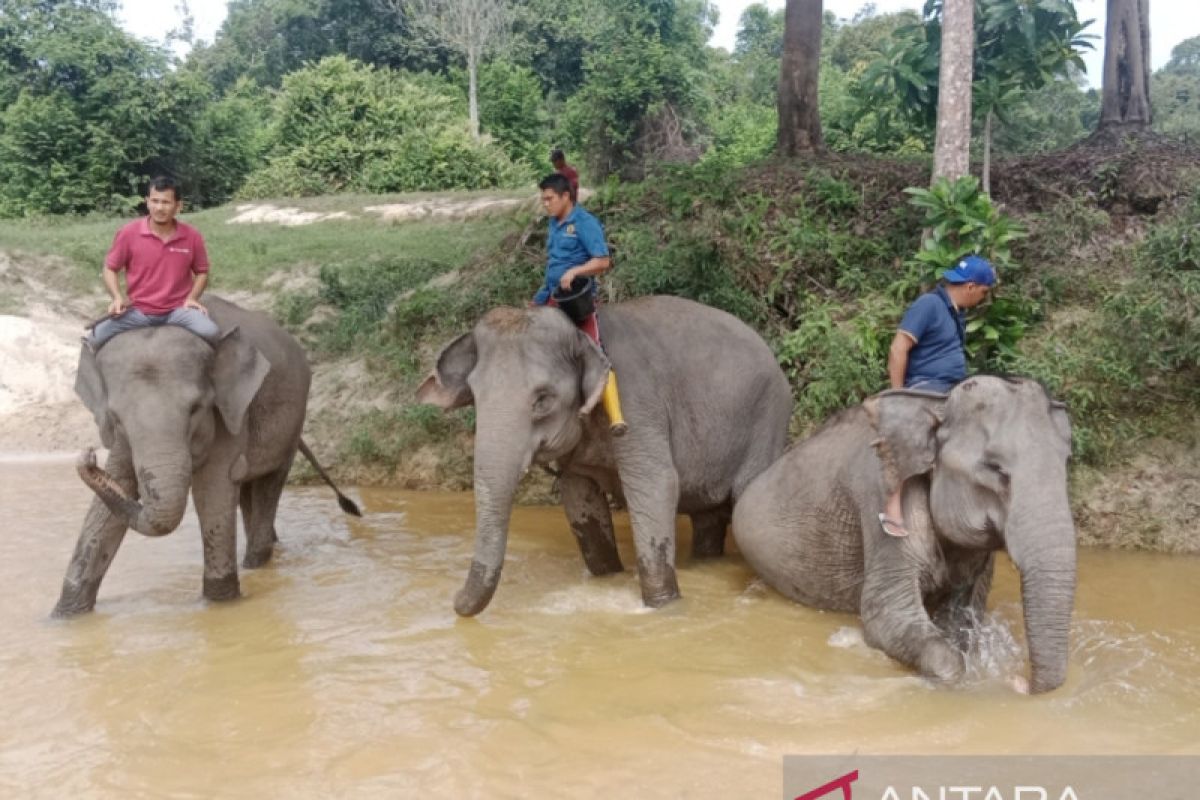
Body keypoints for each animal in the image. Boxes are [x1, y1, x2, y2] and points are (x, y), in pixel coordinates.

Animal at [54, 297, 357, 618]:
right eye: (115, 417)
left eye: (196, 409)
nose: (88, 457)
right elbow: (115, 491)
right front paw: (65, 615)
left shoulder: (230, 413)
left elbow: (211, 490)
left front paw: (220, 604)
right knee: (248, 492)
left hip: (294, 417)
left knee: (269, 484)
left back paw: (256, 562)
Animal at [417, 297, 792, 618]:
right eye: (475, 397)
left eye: (542, 399)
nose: (454, 601)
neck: (583, 334)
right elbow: (579, 499)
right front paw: (608, 579)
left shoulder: (636, 402)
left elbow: (656, 485)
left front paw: (662, 606)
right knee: (708, 518)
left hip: (768, 419)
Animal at [729, 376, 1080, 695]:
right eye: (995, 467)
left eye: (1066, 462)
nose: (1019, 683)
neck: (937, 402)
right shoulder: (880, 501)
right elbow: (884, 613)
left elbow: (963, 616)